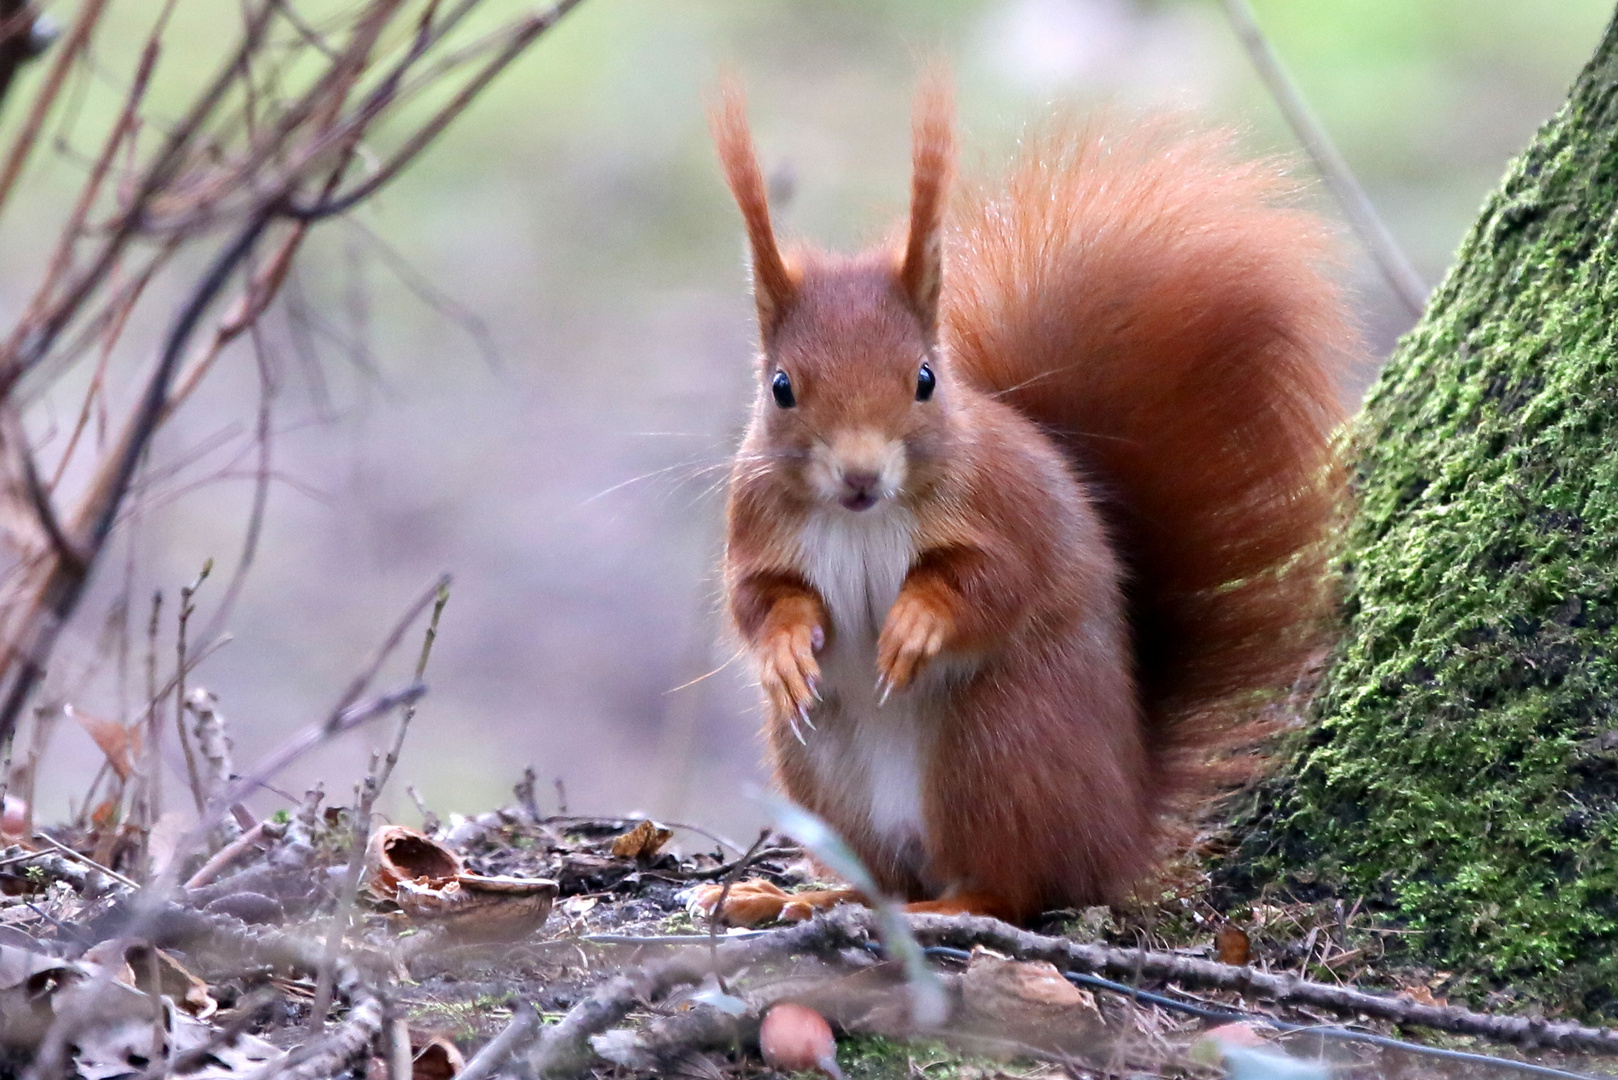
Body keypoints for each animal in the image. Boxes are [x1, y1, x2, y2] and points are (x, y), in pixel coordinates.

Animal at [695, 76, 1352, 926]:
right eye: (781, 388)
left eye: (925, 378)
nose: (861, 476)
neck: (863, 520)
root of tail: (1122, 825)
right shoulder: (756, 523)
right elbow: (757, 597)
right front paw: (783, 650)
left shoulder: (1007, 511)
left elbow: (993, 582)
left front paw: (915, 625)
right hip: (822, 766)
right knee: (889, 876)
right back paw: (795, 896)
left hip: (1002, 743)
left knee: (1013, 890)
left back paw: (943, 908)